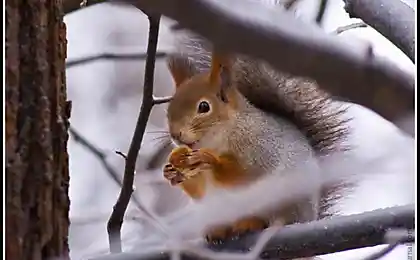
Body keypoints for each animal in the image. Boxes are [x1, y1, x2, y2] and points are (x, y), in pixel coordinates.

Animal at [159, 23, 350, 243]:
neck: (220, 137)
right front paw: (170, 171)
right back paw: (217, 231)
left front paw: (209, 160)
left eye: (204, 107)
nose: (175, 135)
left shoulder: (262, 149)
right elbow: (198, 190)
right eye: (169, 107)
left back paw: (250, 224)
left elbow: (247, 175)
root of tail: (312, 216)